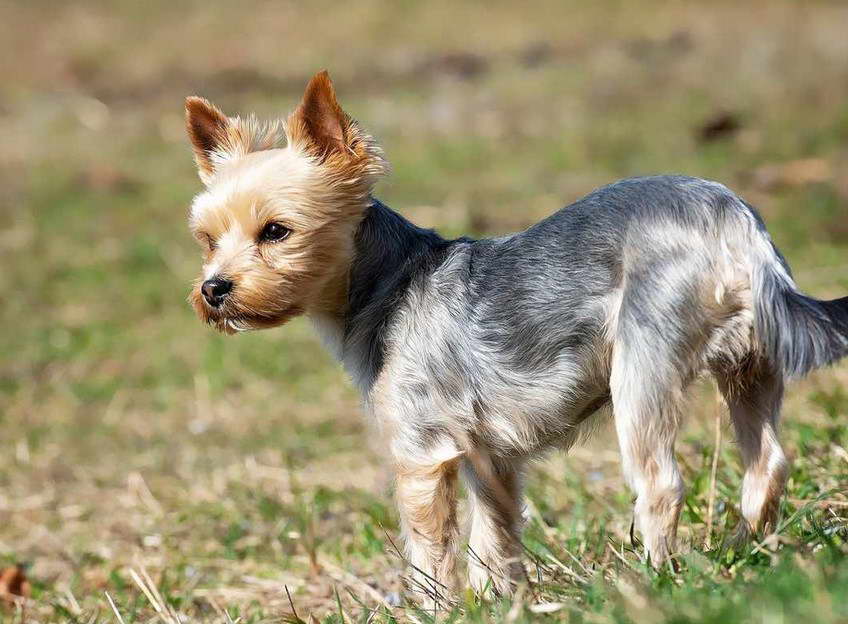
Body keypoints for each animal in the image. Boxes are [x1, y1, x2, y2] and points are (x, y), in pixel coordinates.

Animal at [184, 69, 848, 600]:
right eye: (208, 240)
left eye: (276, 231)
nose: (213, 289)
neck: (385, 283)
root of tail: (733, 221)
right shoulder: (492, 462)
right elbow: (495, 541)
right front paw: (497, 602)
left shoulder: (422, 457)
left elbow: (430, 552)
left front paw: (436, 608)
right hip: (753, 362)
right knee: (767, 465)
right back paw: (741, 555)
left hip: (642, 367)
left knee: (660, 483)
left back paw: (655, 579)